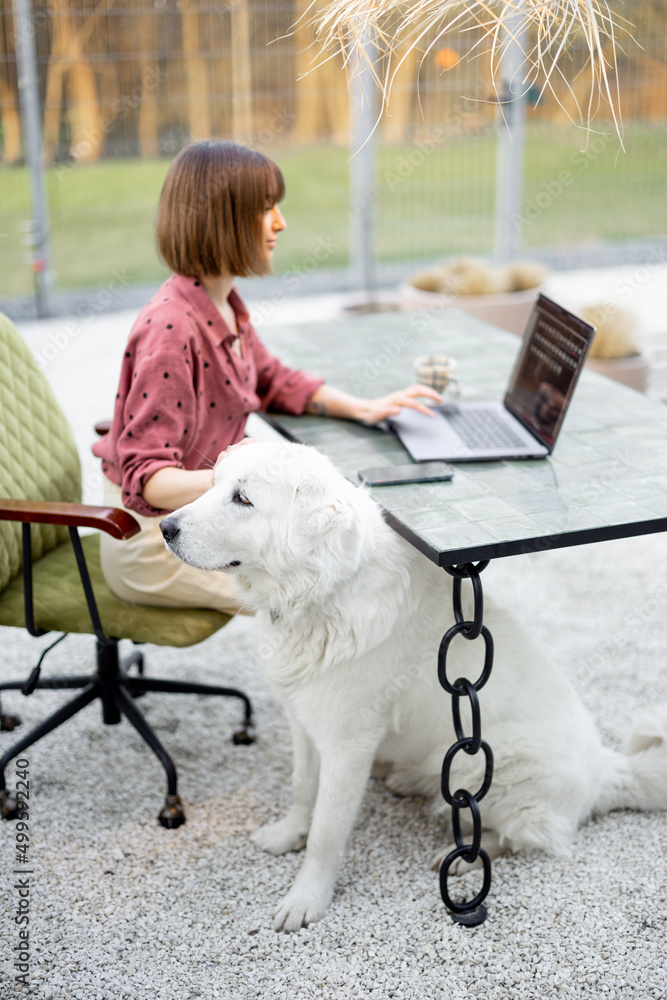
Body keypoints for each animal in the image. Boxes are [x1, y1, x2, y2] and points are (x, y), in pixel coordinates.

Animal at [160, 442, 667, 932]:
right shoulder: (304, 722)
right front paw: (288, 835)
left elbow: (326, 831)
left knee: (524, 835)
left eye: (243, 499)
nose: (164, 526)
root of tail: (608, 770)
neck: (324, 593)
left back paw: (461, 857)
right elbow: (303, 788)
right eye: (214, 484)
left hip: (483, 763)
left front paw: (307, 898)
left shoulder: (347, 744)